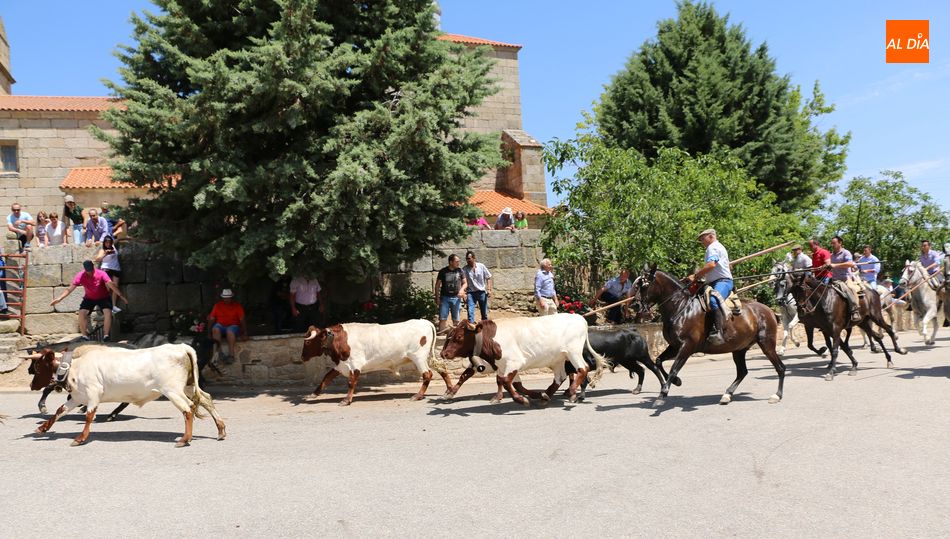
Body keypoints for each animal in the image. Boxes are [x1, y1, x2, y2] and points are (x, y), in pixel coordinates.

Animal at [31, 344, 227, 450]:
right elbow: (60, 410)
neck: (75, 367)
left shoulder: (93, 393)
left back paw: (185, 439)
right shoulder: (78, 396)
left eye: (38, 367)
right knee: (205, 399)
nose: (32, 385)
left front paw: (80, 438)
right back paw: (220, 430)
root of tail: (181, 346)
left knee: (188, 409)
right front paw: (42, 428)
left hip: (173, 390)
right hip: (188, 386)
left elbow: (89, 415)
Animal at [304, 320, 456, 404]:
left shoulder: (354, 365)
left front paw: (346, 400)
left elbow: (351, 382)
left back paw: (418, 396)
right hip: (427, 357)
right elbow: (326, 377)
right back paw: (449, 390)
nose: (302, 357)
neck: (339, 339)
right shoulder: (341, 365)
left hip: (418, 357)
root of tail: (425, 322)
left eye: (308, 342)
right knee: (442, 368)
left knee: (427, 374)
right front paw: (314, 393)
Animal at [440, 314, 608, 408]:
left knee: (583, 369)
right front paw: (534, 395)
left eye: (459, 337)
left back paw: (572, 391)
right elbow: (511, 383)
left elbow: (505, 382)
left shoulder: (514, 362)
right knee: (560, 377)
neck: (490, 339)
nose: (443, 353)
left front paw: (522, 400)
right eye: (449, 335)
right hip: (558, 359)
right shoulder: (504, 366)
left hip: (573, 351)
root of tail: (580, 318)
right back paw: (546, 396)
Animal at [632, 268, 788, 408]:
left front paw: (662, 394)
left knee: (780, 367)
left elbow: (673, 369)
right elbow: (659, 361)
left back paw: (777, 395)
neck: (681, 308)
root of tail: (769, 311)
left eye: (645, 285)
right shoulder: (675, 346)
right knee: (742, 372)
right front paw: (676, 381)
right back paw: (727, 395)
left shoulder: (687, 347)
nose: (635, 305)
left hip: (766, 344)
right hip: (739, 349)